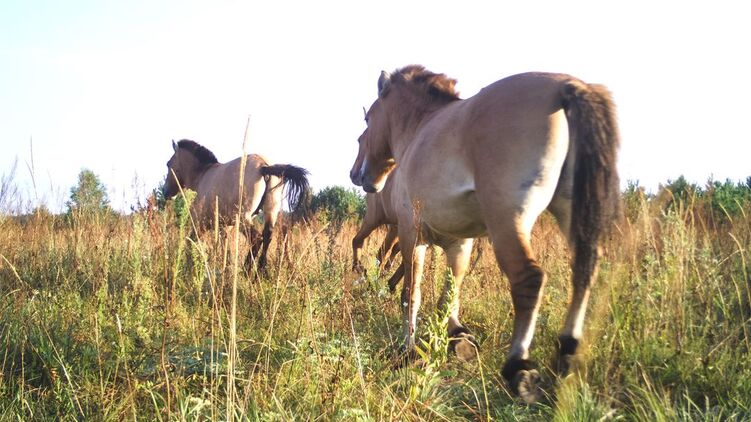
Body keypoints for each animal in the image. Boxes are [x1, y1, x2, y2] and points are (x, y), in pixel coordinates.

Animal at [163, 139, 309, 273]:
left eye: (168, 164)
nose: (166, 192)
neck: (203, 175)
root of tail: (263, 166)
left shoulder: (200, 224)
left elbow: (191, 243)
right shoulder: (224, 226)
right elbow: (225, 249)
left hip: (243, 218)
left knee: (256, 239)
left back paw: (247, 271)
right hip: (270, 213)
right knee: (267, 237)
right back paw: (261, 272)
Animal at [350, 66, 620, 402]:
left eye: (366, 125)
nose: (358, 175)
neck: (419, 128)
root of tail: (566, 86)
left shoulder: (413, 235)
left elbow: (412, 292)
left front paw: (408, 349)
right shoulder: (459, 241)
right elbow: (450, 289)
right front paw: (457, 336)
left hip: (508, 220)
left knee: (529, 278)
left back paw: (520, 367)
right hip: (571, 213)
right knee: (584, 270)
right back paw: (567, 354)